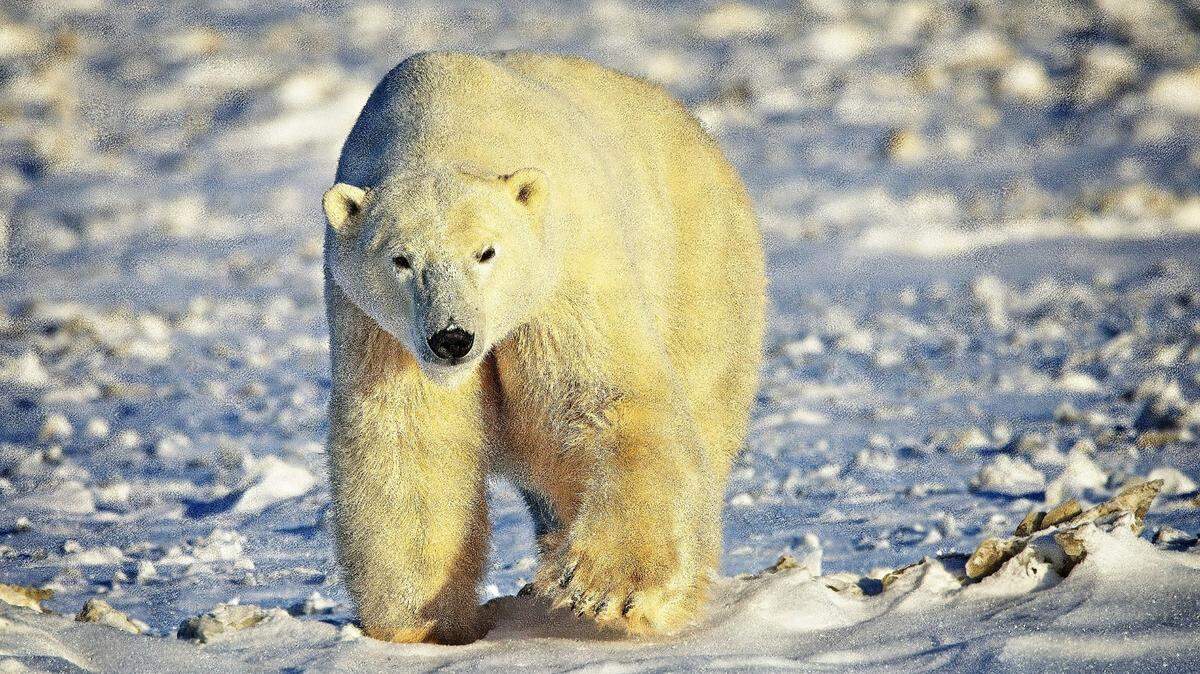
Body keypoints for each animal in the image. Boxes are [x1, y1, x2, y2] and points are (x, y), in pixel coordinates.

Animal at [321, 50, 765, 645]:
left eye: (486, 252)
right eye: (401, 259)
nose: (452, 339)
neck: (445, 123)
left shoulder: (562, 274)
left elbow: (603, 397)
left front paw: (612, 588)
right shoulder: (377, 327)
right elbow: (409, 440)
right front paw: (422, 623)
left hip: (699, 261)